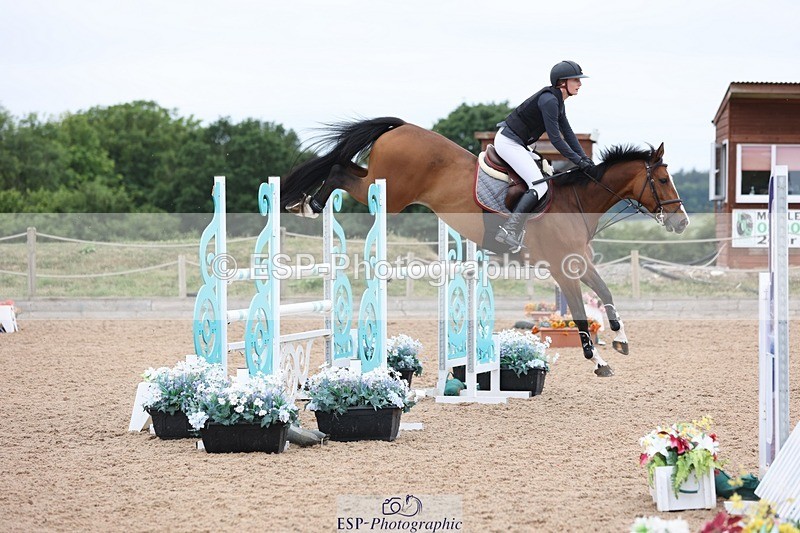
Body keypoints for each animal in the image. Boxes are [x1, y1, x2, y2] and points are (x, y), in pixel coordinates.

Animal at [281, 117, 689, 377]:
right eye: (663, 180)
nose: (682, 222)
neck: (575, 202)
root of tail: (402, 127)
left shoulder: (580, 263)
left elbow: (604, 293)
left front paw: (620, 340)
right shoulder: (562, 269)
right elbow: (579, 312)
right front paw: (598, 362)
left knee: (343, 166)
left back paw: (304, 203)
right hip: (390, 193)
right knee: (339, 170)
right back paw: (308, 204)